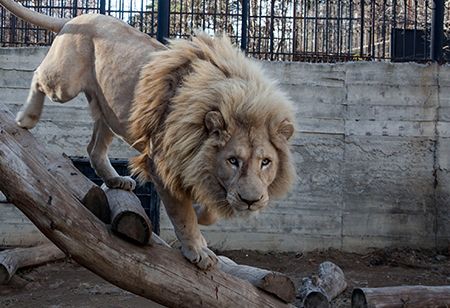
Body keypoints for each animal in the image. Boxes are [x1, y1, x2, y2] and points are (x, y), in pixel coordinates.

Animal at [2, 0, 296, 270]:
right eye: (233, 160)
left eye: (266, 162)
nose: (251, 201)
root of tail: (79, 17)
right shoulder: (162, 164)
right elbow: (182, 214)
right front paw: (198, 250)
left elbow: (209, 211)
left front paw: (203, 214)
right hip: (64, 84)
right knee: (38, 75)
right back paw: (26, 117)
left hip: (109, 112)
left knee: (94, 149)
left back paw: (116, 180)